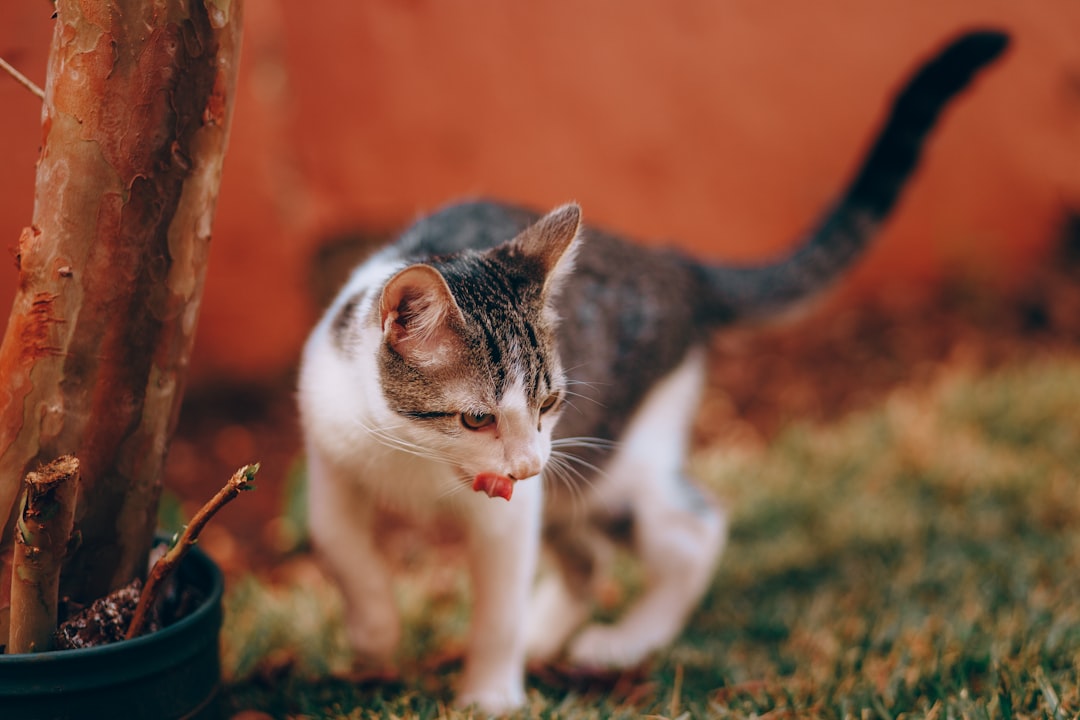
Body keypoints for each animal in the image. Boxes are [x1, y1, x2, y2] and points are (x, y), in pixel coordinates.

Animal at [295, 29, 1002, 716]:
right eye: (476, 417)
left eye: (548, 403)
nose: (526, 465)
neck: (414, 458)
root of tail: (673, 262)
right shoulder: (331, 438)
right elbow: (337, 544)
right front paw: (375, 637)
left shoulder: (514, 507)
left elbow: (499, 604)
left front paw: (490, 696)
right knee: (587, 560)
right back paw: (548, 636)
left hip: (612, 460)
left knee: (696, 529)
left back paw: (622, 642)